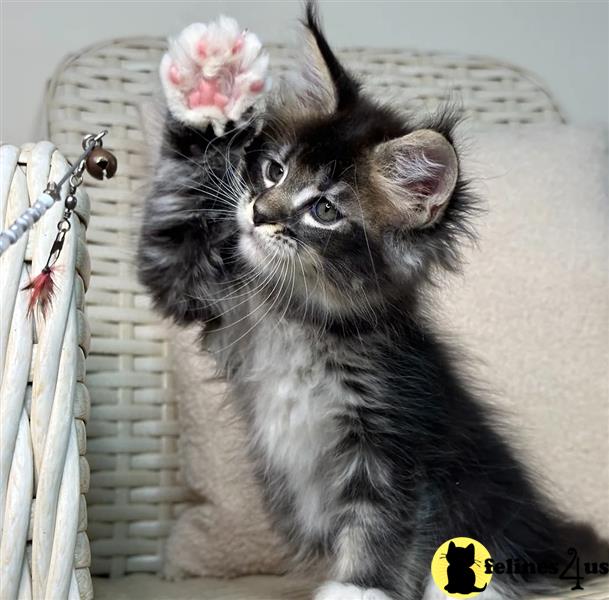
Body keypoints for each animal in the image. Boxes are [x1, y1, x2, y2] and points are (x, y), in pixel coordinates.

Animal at [140, 4, 604, 600]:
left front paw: (357, 588)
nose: (259, 213)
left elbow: (381, 521)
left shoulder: (393, 437)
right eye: (273, 170)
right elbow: (171, 222)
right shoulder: (199, 290)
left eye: (324, 210)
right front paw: (213, 86)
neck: (301, 315)